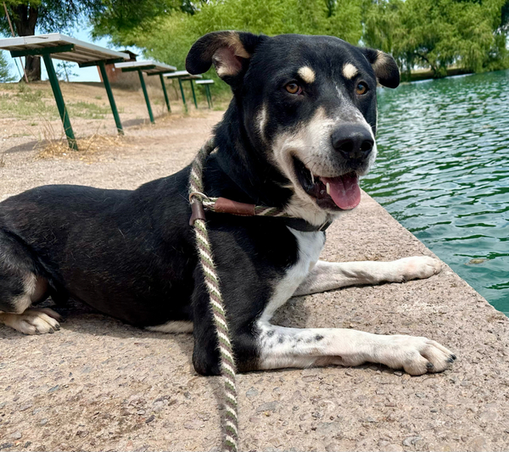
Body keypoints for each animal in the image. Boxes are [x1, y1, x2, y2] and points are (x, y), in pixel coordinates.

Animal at [0, 31, 452, 376]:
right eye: (292, 87)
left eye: (362, 87)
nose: (356, 143)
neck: (251, 197)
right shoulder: (226, 339)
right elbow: (337, 333)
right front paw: (406, 346)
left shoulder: (296, 274)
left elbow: (355, 266)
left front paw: (413, 264)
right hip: (21, 279)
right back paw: (33, 318)